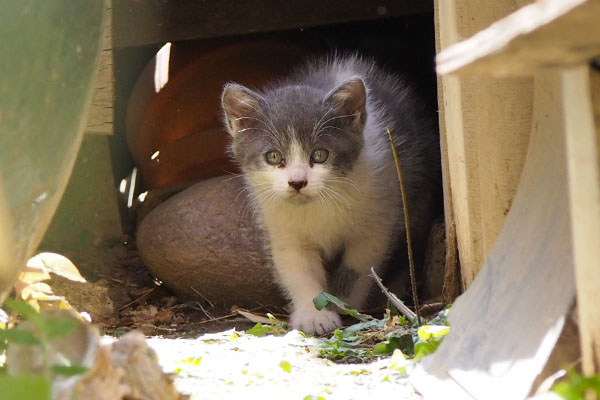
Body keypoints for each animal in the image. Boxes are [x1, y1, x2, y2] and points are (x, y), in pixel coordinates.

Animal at [223, 55, 438, 334]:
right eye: (274, 157)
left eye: (319, 154)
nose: (297, 182)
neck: (318, 205)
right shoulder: (282, 228)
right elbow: (298, 270)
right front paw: (314, 315)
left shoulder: (377, 223)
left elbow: (357, 269)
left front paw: (344, 303)